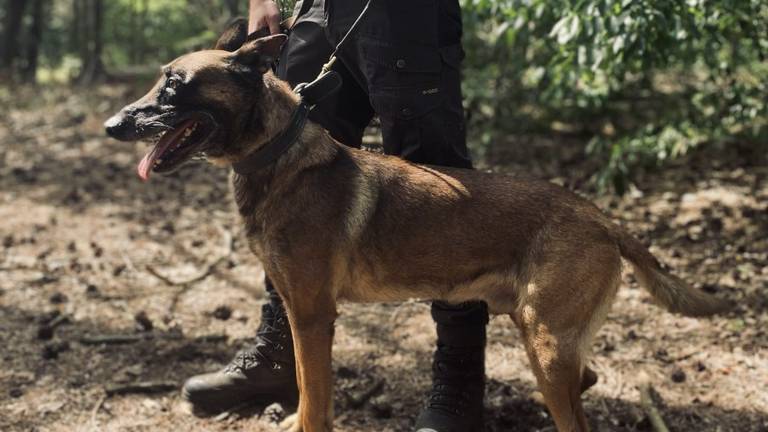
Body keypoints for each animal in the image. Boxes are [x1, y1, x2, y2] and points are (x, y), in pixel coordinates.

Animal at [105, 22, 728, 432]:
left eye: (173, 84)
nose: (111, 125)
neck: (279, 158)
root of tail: (599, 216)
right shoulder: (296, 309)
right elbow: (304, 387)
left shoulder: (313, 316)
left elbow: (316, 400)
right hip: (546, 341)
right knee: (586, 381)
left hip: (546, 342)